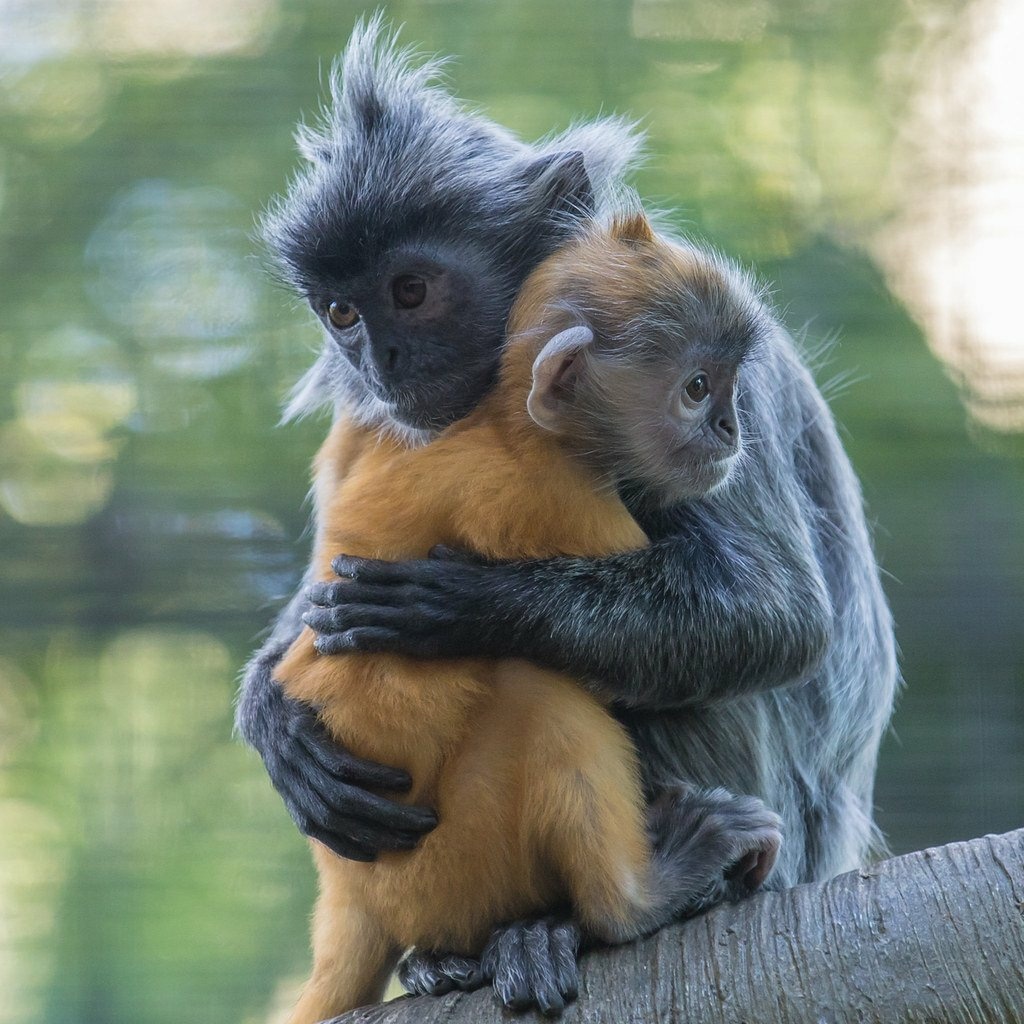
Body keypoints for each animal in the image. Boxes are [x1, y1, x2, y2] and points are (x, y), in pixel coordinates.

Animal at [272, 211, 783, 1024]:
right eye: (698, 389)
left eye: (728, 387)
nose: (732, 429)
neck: (507, 421)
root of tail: (354, 904)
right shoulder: (559, 496)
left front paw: (455, 605)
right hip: (453, 865)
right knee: (537, 689)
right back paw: (636, 902)